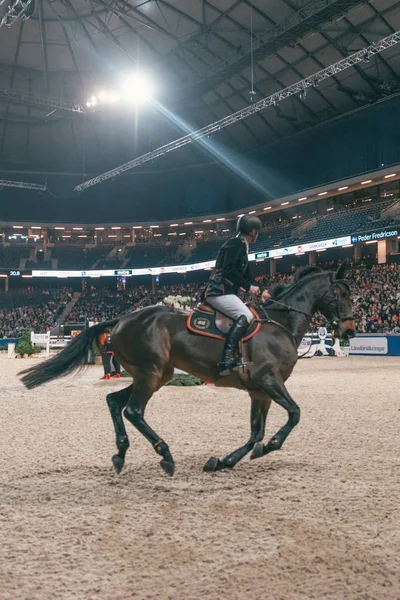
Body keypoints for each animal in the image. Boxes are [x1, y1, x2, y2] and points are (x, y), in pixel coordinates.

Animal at [20, 264, 354, 476]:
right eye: (344, 294)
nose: (349, 330)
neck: (280, 323)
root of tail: (121, 319)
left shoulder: (259, 391)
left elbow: (255, 433)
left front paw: (223, 461)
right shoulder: (268, 380)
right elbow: (294, 414)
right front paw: (270, 446)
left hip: (154, 374)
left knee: (114, 401)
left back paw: (120, 454)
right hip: (152, 374)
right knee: (133, 410)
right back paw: (165, 455)